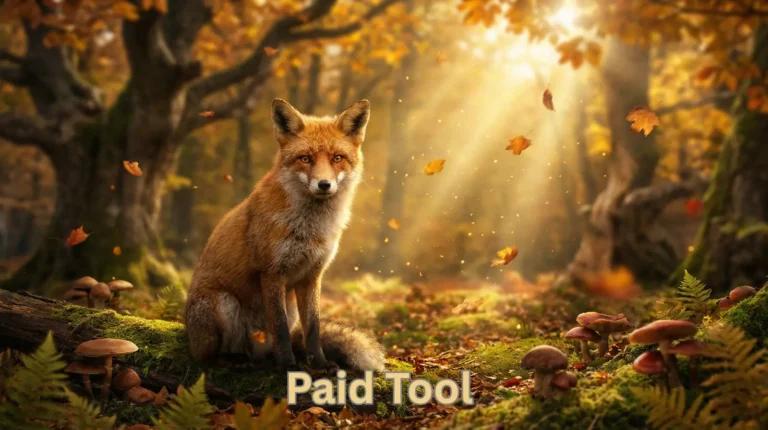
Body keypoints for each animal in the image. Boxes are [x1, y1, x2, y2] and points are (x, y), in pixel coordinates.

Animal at [185, 98, 385, 372]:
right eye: (305, 158)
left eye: (337, 158)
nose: (324, 184)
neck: (310, 229)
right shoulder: (271, 272)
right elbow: (278, 327)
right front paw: (288, 365)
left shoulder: (312, 276)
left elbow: (313, 328)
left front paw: (319, 362)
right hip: (224, 304)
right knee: (210, 356)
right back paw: (234, 360)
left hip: (289, 308)